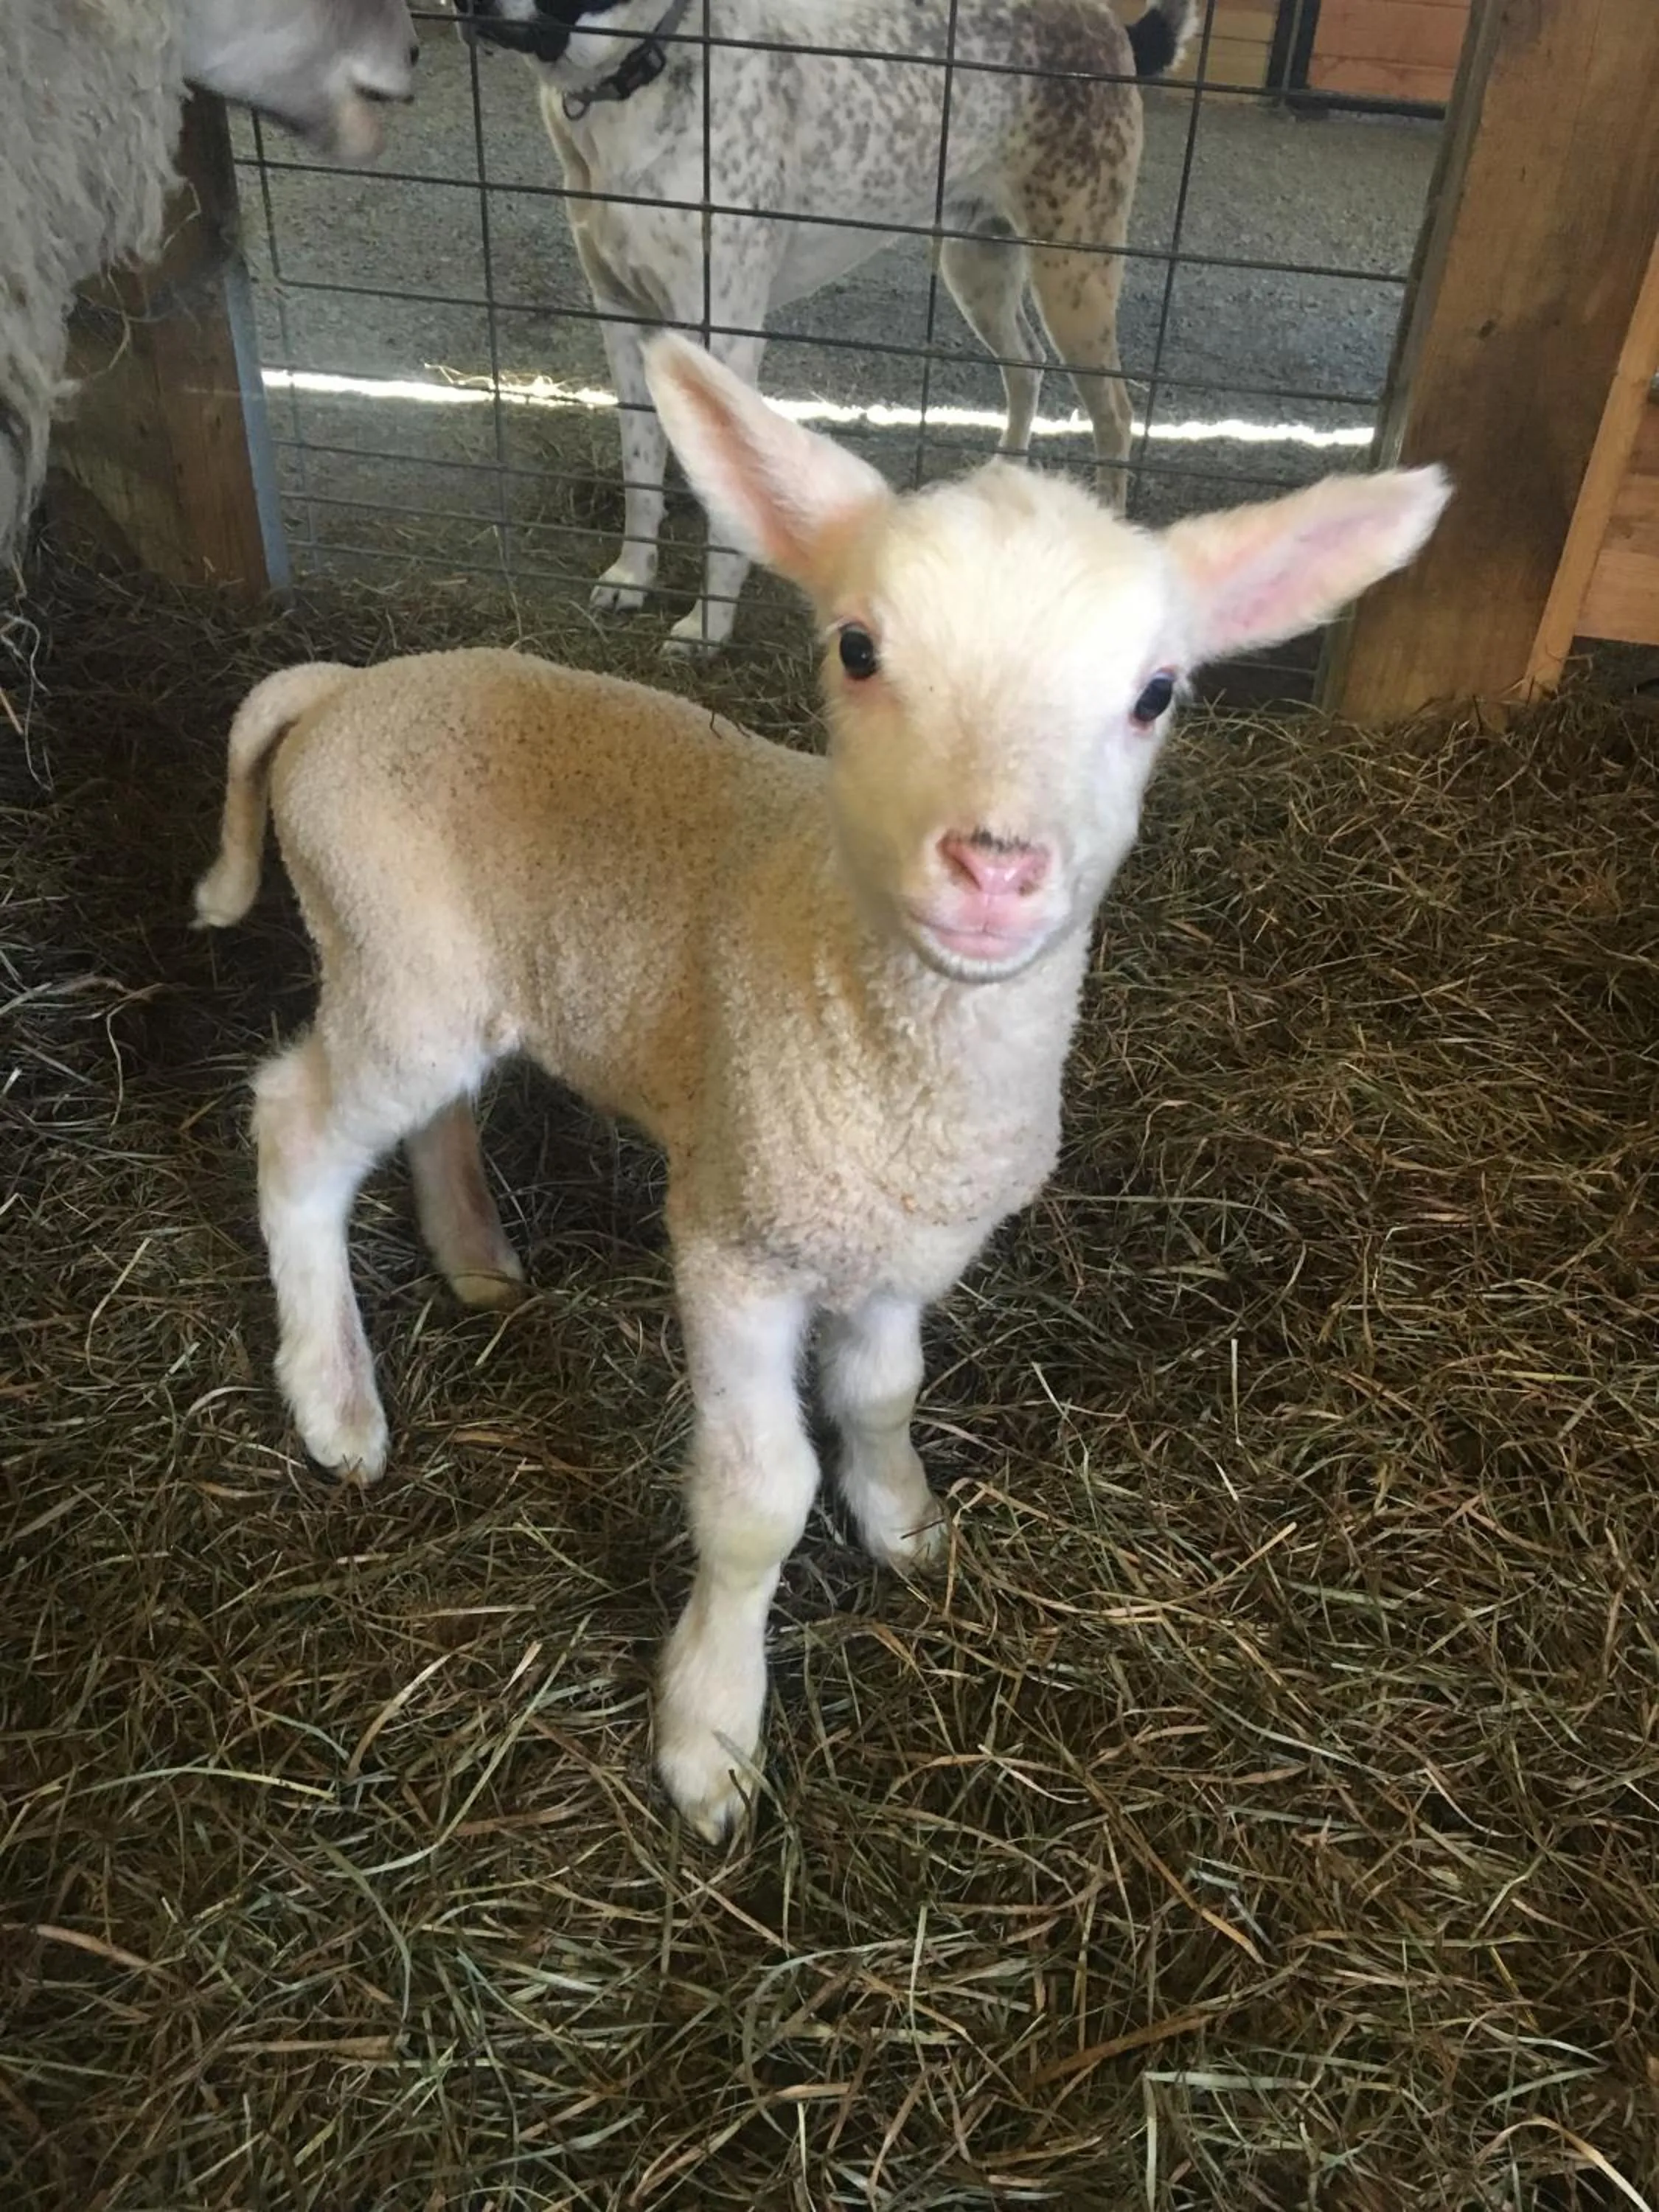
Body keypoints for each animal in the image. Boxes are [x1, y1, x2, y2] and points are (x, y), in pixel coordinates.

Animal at [193, 333, 1450, 1840]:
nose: (995, 867)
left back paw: (476, 1258)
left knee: (432, 1109)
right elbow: (757, 1499)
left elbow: (885, 1396)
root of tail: (338, 689)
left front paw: (906, 1523)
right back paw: (335, 1402)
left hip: (443, 973)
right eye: (858, 649)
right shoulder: (737, 1237)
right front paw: (710, 1734)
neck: (890, 1043)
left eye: (1158, 694)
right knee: (295, 1131)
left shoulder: (900, 1245)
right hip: (390, 960)